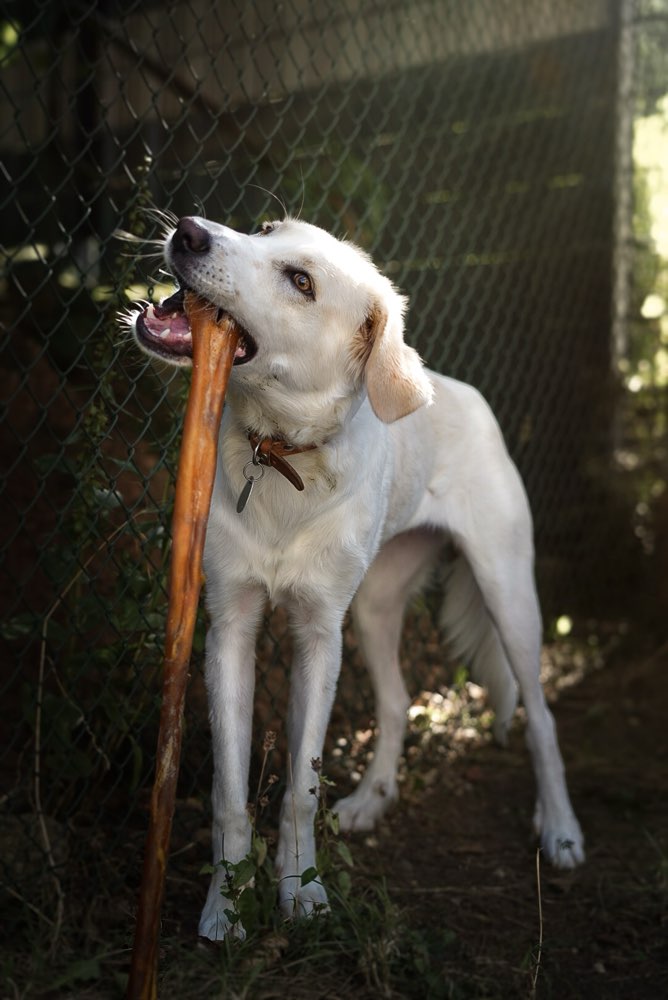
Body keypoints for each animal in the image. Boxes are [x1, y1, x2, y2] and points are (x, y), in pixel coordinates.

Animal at [129, 215, 580, 940]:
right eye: (263, 229)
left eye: (301, 281)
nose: (191, 231)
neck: (282, 454)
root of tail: (461, 390)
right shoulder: (231, 627)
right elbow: (230, 794)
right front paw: (227, 905)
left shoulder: (319, 634)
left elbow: (300, 789)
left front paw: (304, 895)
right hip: (372, 608)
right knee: (397, 704)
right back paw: (372, 800)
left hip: (508, 594)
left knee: (540, 718)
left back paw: (561, 830)